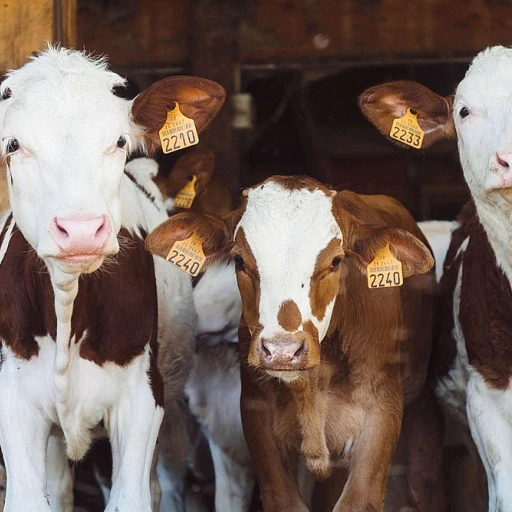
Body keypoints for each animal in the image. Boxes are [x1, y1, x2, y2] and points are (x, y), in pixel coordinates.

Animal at [0, 48, 224, 512]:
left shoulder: (141, 399)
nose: (81, 229)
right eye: (13, 144)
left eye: (120, 141)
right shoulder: (12, 399)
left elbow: (132, 498)